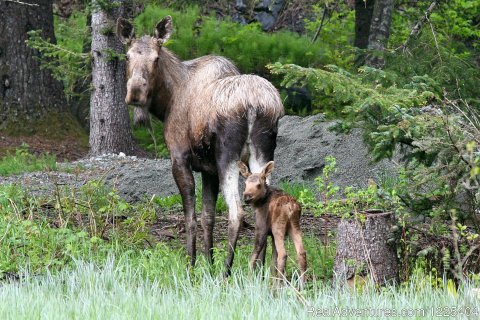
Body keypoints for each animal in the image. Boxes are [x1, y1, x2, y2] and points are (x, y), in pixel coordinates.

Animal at [116, 15, 284, 276]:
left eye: (156, 58)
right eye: (127, 56)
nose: (135, 94)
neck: (167, 102)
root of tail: (257, 105)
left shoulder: (180, 158)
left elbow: (191, 217)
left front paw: (192, 265)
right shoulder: (209, 169)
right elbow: (208, 217)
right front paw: (208, 264)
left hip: (228, 156)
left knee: (237, 212)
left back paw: (227, 271)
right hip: (263, 154)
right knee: (262, 208)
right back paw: (259, 271)